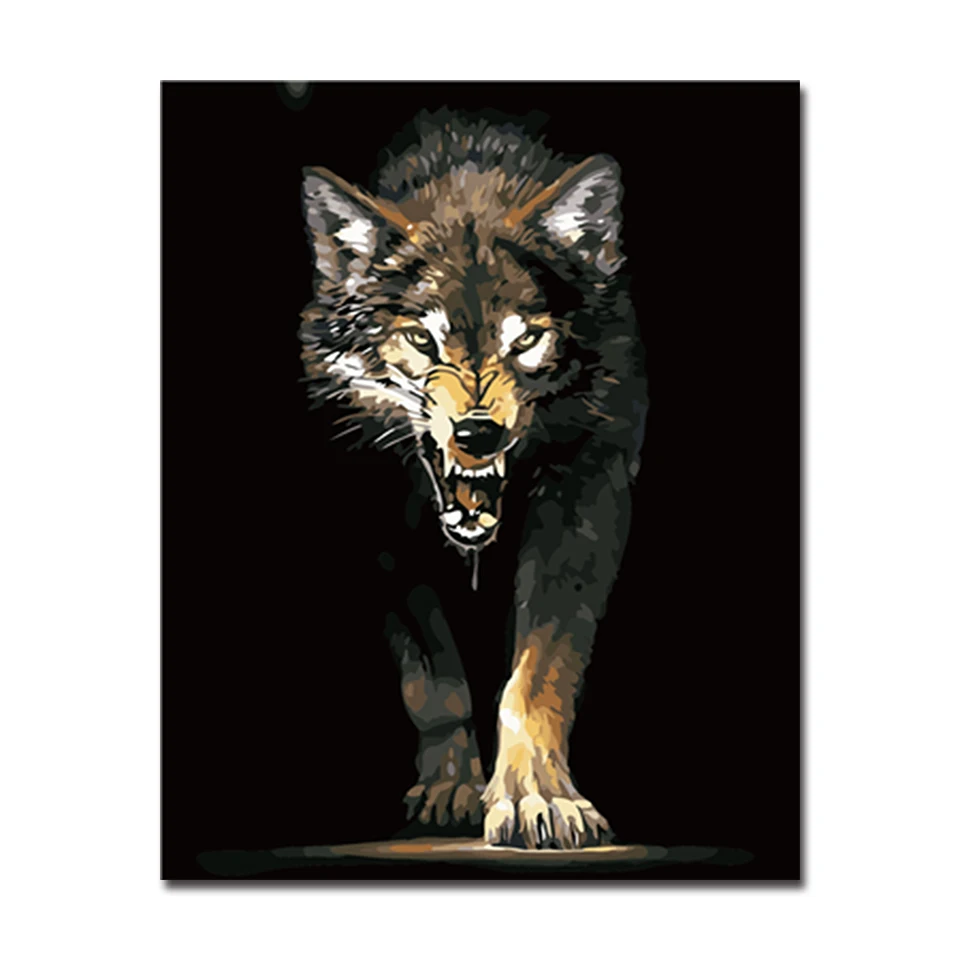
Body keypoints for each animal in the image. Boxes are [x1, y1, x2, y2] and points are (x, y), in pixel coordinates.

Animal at [299, 110, 648, 849]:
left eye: (526, 341)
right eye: (421, 341)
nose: (478, 435)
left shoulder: (588, 499)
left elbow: (538, 672)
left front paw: (538, 797)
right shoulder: (381, 531)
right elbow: (435, 679)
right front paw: (452, 788)